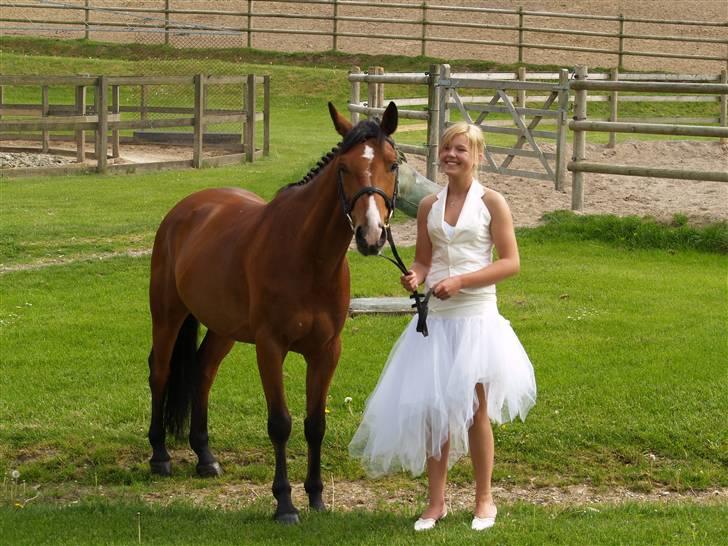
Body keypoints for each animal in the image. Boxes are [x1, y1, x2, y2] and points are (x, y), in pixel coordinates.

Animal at [147, 102, 399, 523]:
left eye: (393, 164)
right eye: (344, 168)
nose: (371, 234)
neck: (308, 256)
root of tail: (187, 208)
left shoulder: (326, 351)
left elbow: (315, 424)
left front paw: (316, 497)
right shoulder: (270, 347)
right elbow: (280, 424)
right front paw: (284, 504)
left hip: (224, 329)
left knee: (203, 370)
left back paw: (205, 457)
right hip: (167, 315)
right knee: (160, 372)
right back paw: (160, 455)